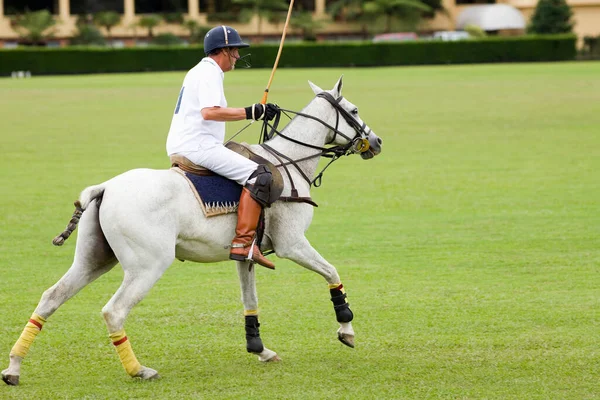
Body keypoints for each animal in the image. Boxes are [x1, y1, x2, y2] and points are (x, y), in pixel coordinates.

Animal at [2, 75, 382, 384]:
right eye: (354, 109)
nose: (376, 142)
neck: (290, 163)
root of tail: (105, 187)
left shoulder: (246, 254)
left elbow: (250, 300)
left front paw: (259, 349)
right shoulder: (292, 243)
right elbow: (332, 272)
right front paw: (346, 328)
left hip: (94, 259)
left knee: (51, 297)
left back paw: (13, 368)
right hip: (148, 264)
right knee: (114, 311)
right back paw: (139, 370)